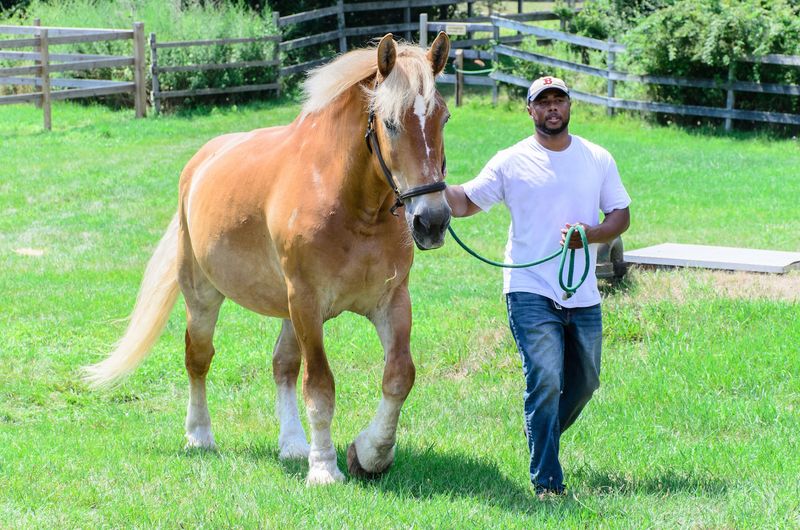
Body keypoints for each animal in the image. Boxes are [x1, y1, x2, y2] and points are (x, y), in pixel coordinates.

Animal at [84, 32, 452, 485]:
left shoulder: (392, 301)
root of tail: (198, 165)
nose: (432, 221)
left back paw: (293, 444)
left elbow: (399, 376)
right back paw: (200, 436)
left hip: (288, 310)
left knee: (282, 365)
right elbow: (321, 386)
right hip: (204, 297)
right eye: (390, 123)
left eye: (444, 118)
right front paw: (325, 468)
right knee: (198, 359)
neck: (350, 203)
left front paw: (369, 454)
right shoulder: (308, 304)